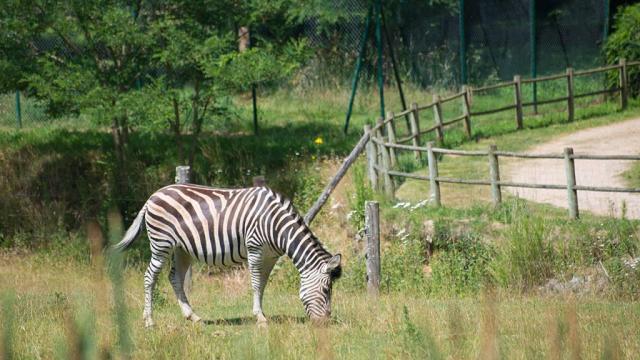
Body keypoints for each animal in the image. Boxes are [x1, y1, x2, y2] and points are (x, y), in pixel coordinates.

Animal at [111, 184, 340, 328]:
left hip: (181, 248)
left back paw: (193, 316)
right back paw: (149, 321)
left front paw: (261, 313)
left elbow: (262, 285)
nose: (325, 324)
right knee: (150, 277)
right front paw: (260, 318)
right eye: (326, 290)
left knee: (174, 277)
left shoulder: (270, 257)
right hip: (161, 244)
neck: (276, 225)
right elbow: (255, 284)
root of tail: (152, 197)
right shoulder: (255, 248)